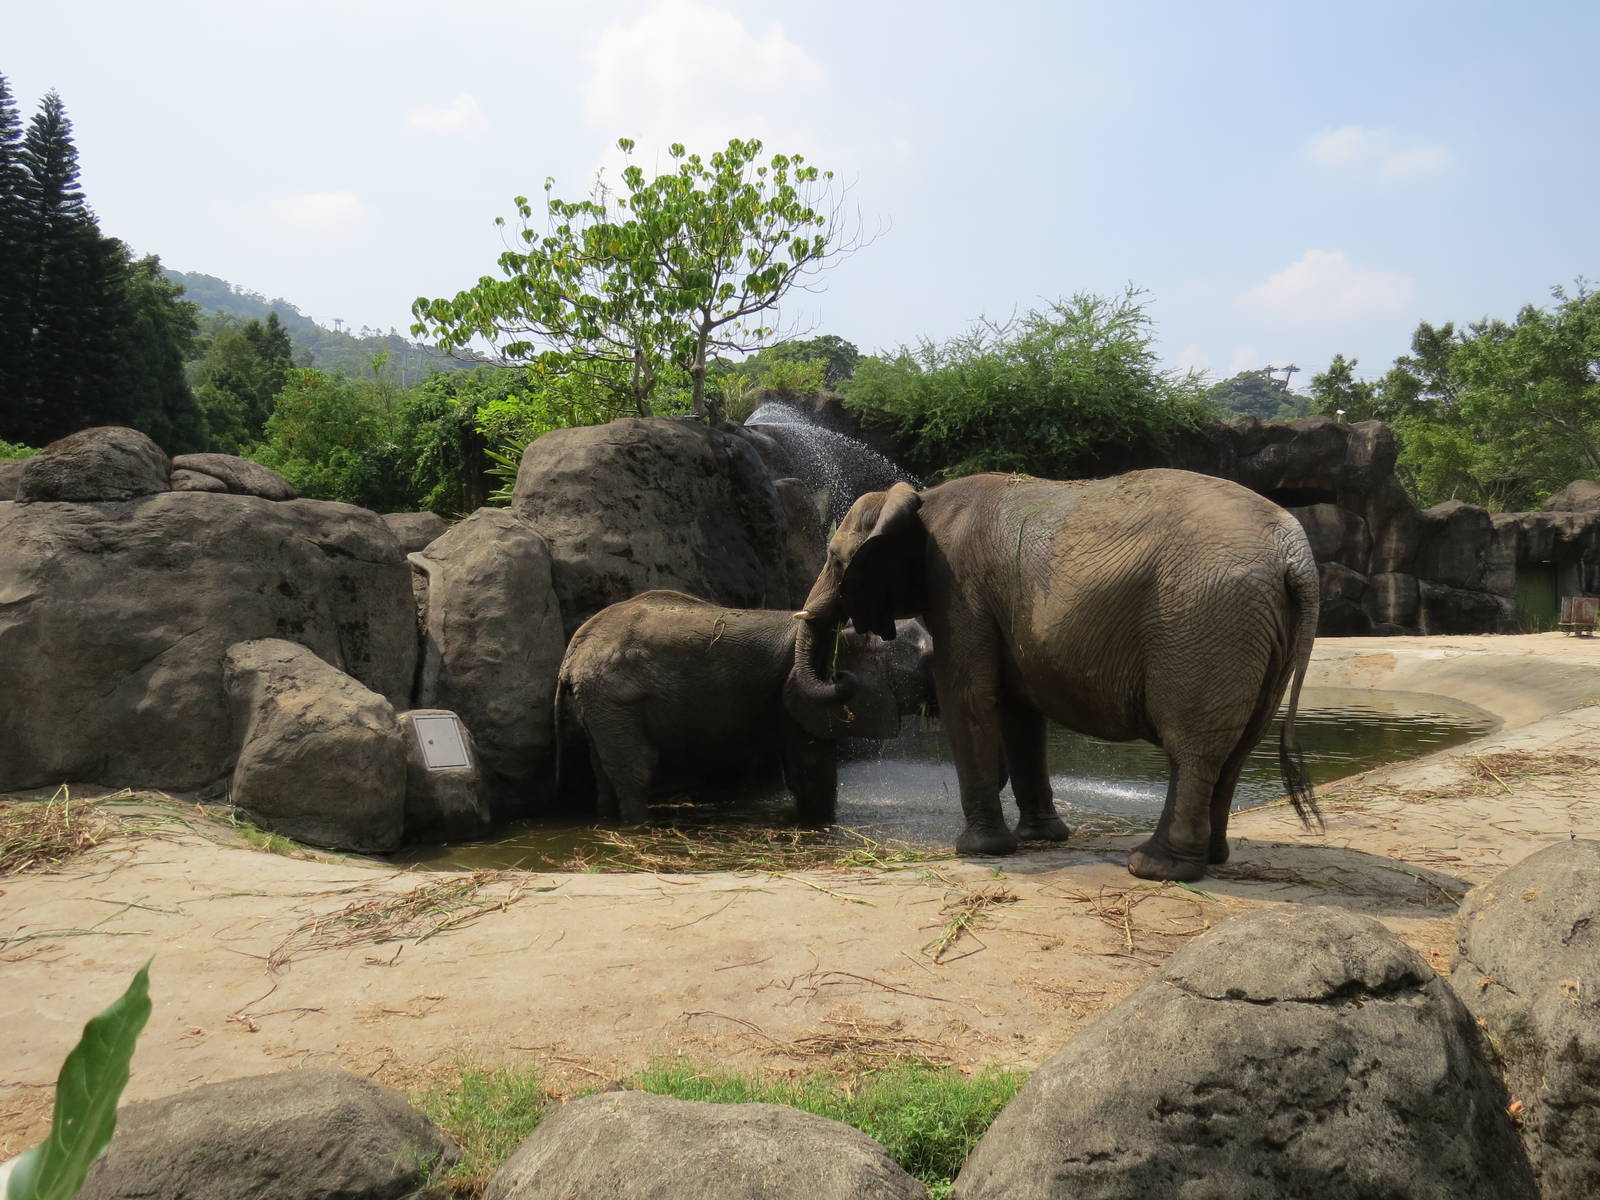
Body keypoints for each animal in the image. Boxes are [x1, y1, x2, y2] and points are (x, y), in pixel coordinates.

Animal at [555, 589, 900, 825]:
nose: (843, 677)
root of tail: (572, 654)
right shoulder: (796, 695)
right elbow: (812, 768)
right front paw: (820, 824)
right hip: (615, 698)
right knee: (636, 767)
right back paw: (641, 825)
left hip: (597, 701)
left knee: (603, 769)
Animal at [787, 469, 1321, 882]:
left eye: (834, 559)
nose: (843, 675)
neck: (918, 498)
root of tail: (1294, 551)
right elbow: (1019, 713)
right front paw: (1040, 838)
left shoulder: (959, 588)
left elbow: (968, 697)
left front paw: (978, 851)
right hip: (1259, 631)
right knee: (1237, 747)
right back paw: (1206, 858)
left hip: (1204, 620)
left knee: (1193, 747)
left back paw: (1157, 869)